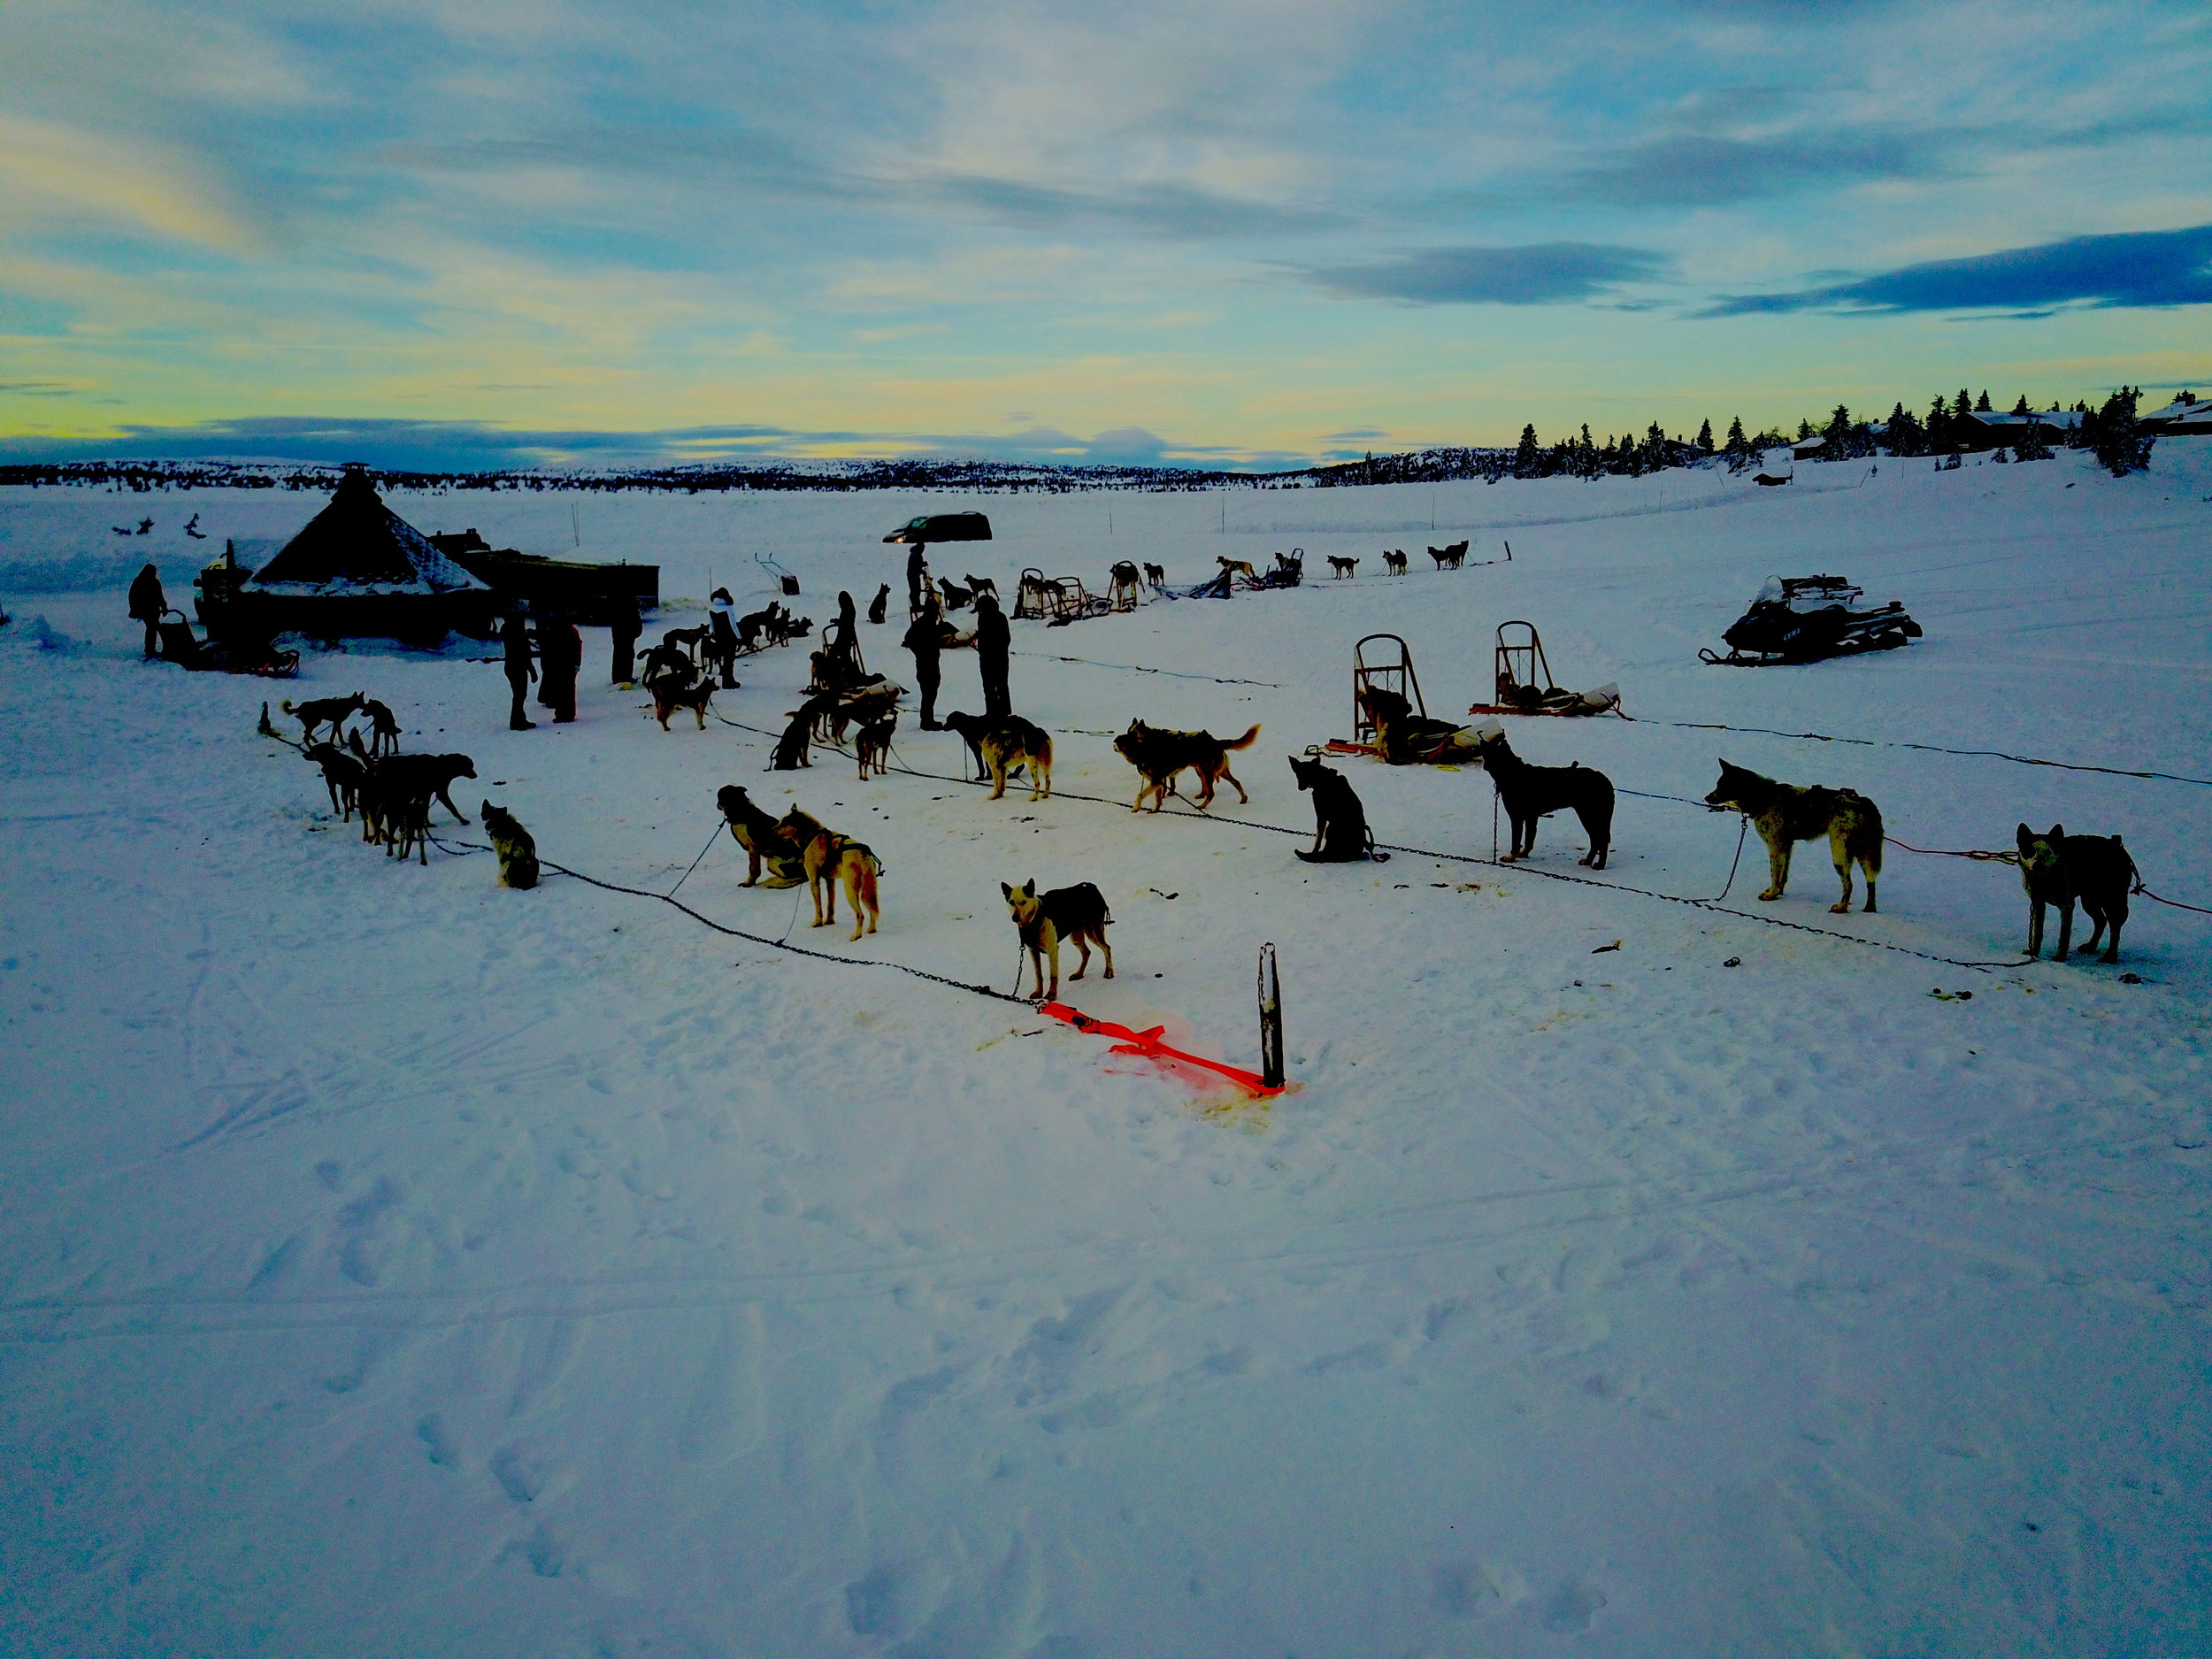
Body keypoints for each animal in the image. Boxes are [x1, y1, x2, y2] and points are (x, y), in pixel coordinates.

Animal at [1004, 876, 1115, 1009]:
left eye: (1024, 902)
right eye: (1011, 902)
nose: (1015, 917)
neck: (1034, 920)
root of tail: (1090, 886)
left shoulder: (1053, 950)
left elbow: (1053, 976)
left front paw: (1051, 994)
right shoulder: (1033, 950)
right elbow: (1038, 974)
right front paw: (1038, 992)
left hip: (1093, 932)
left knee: (1107, 948)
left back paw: (1109, 971)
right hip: (1076, 936)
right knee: (1087, 952)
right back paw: (1079, 973)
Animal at [1478, 734, 1619, 876]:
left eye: (1490, 748)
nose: (1481, 740)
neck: (1512, 773)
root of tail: (1606, 781)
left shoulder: (1516, 817)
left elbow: (1516, 840)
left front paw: (1511, 857)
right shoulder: (1531, 817)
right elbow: (1529, 839)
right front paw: (1523, 854)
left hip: (1589, 816)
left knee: (1601, 840)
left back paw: (1600, 865)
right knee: (1596, 840)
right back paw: (1588, 861)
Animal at [2017, 827, 2132, 969]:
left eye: (2048, 852)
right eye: (2030, 851)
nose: (2037, 865)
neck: (2045, 880)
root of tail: (2117, 844)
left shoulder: (2066, 905)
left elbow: (2064, 933)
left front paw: (2060, 956)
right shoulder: (2038, 902)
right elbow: (2037, 932)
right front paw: (2033, 952)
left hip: (2112, 900)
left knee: (2115, 927)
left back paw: (2110, 955)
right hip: (2089, 900)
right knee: (2101, 921)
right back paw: (2091, 946)